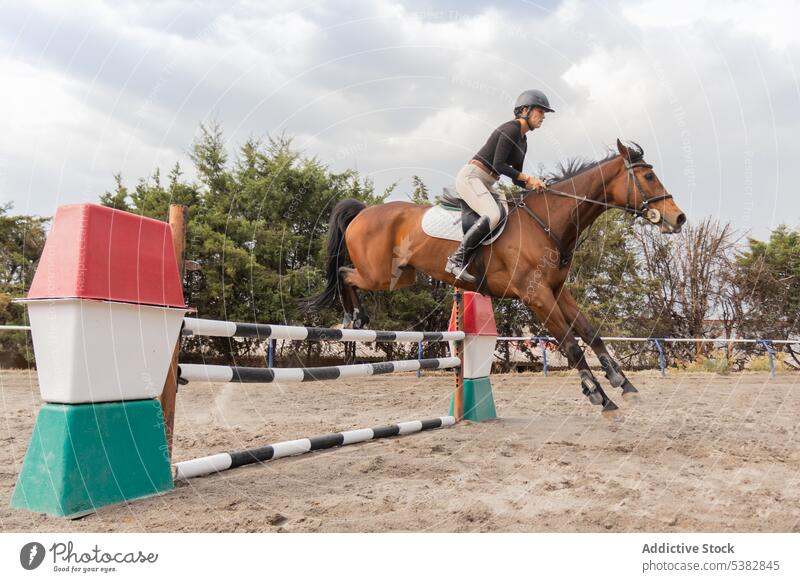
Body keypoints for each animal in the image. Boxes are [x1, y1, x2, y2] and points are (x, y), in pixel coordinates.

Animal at [304, 140, 688, 416]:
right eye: (649, 177)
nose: (679, 218)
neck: (549, 221)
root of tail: (365, 210)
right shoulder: (536, 295)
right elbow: (570, 344)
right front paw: (599, 396)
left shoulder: (556, 290)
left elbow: (590, 333)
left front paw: (625, 384)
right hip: (380, 275)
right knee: (345, 274)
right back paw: (353, 316)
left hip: (402, 276)